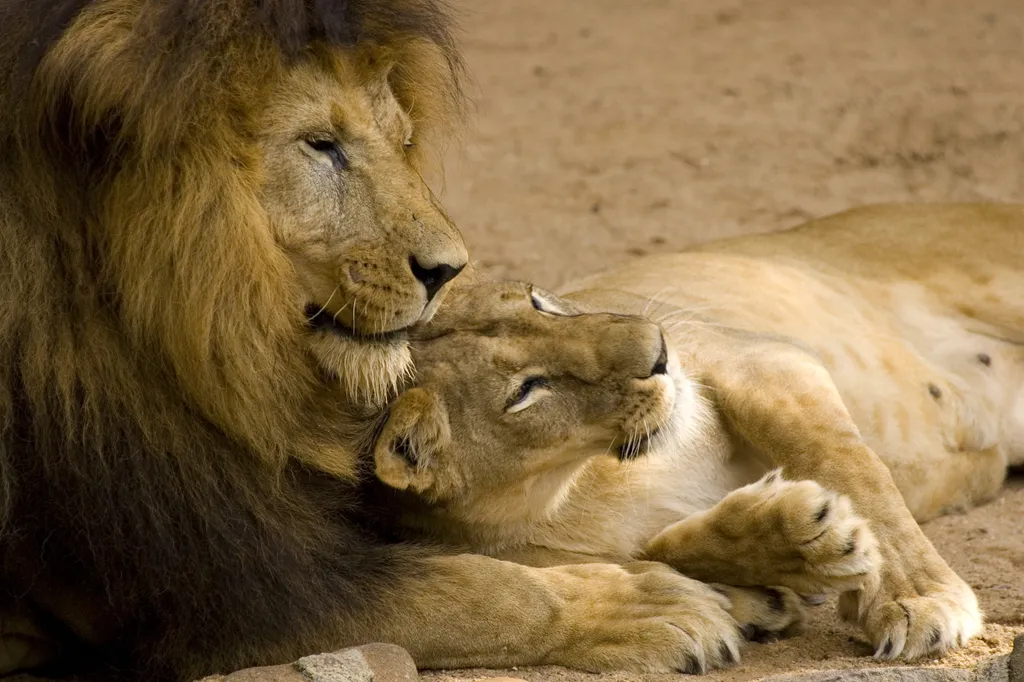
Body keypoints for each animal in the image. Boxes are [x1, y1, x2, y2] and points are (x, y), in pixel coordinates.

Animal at [0, 2, 745, 675]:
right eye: (320, 144)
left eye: (402, 136)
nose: (447, 269)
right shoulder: (202, 586)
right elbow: (474, 591)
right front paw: (645, 608)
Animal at [376, 201, 1024, 667]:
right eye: (527, 389)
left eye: (542, 304)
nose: (660, 349)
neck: (570, 488)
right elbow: (658, 552)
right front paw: (784, 556)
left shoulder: (758, 359)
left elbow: (849, 467)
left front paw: (918, 598)